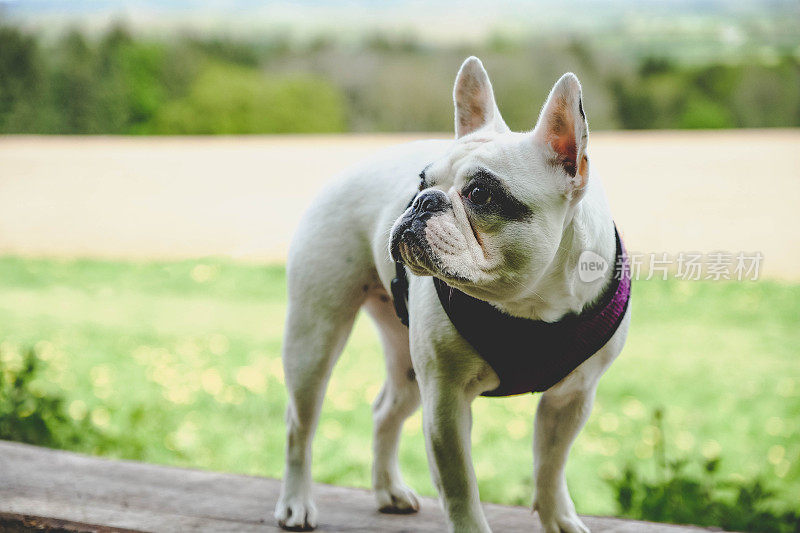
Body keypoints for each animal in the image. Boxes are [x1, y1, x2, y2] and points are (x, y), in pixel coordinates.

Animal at [276, 56, 632, 528]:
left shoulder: (572, 398)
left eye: (480, 194)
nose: (422, 201)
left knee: (385, 411)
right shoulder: (445, 402)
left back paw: (388, 490)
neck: (531, 303)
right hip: (314, 338)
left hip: (408, 365)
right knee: (300, 424)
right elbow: (461, 487)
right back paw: (296, 502)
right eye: (421, 181)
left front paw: (558, 519)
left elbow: (551, 465)